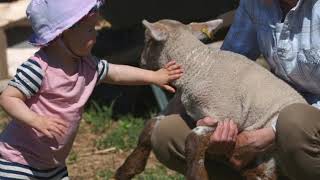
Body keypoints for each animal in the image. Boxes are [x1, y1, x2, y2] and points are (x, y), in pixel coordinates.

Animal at [115, 19, 308, 179]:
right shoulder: (184, 106)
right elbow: (151, 124)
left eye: (148, 41)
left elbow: (193, 141)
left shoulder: (225, 115)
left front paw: (196, 175)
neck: (198, 67)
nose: (140, 62)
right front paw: (127, 169)